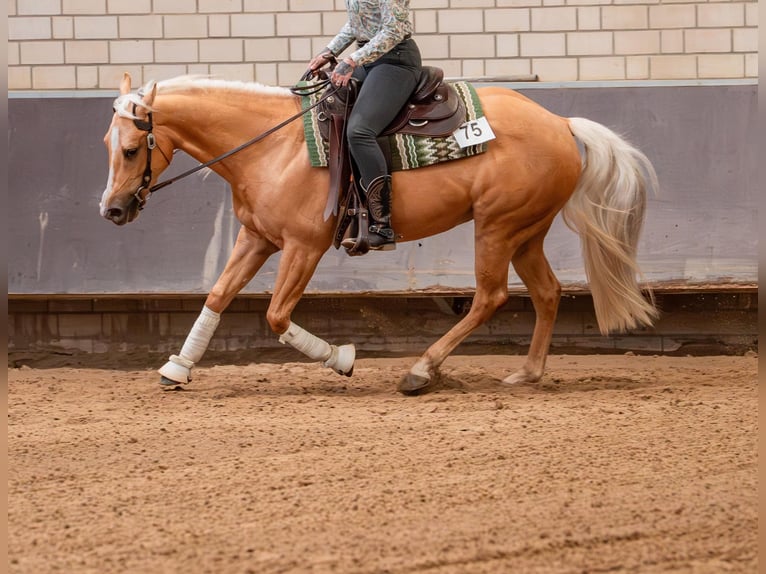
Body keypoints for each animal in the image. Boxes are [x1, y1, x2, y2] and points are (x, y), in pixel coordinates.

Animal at [100, 72, 658, 393]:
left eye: (130, 149)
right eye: (107, 142)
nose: (112, 210)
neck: (273, 146)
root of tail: (560, 123)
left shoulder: (303, 247)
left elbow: (277, 316)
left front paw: (342, 359)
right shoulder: (255, 238)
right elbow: (217, 296)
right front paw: (178, 367)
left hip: (498, 227)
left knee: (490, 296)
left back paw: (422, 370)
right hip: (526, 232)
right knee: (546, 292)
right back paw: (527, 373)